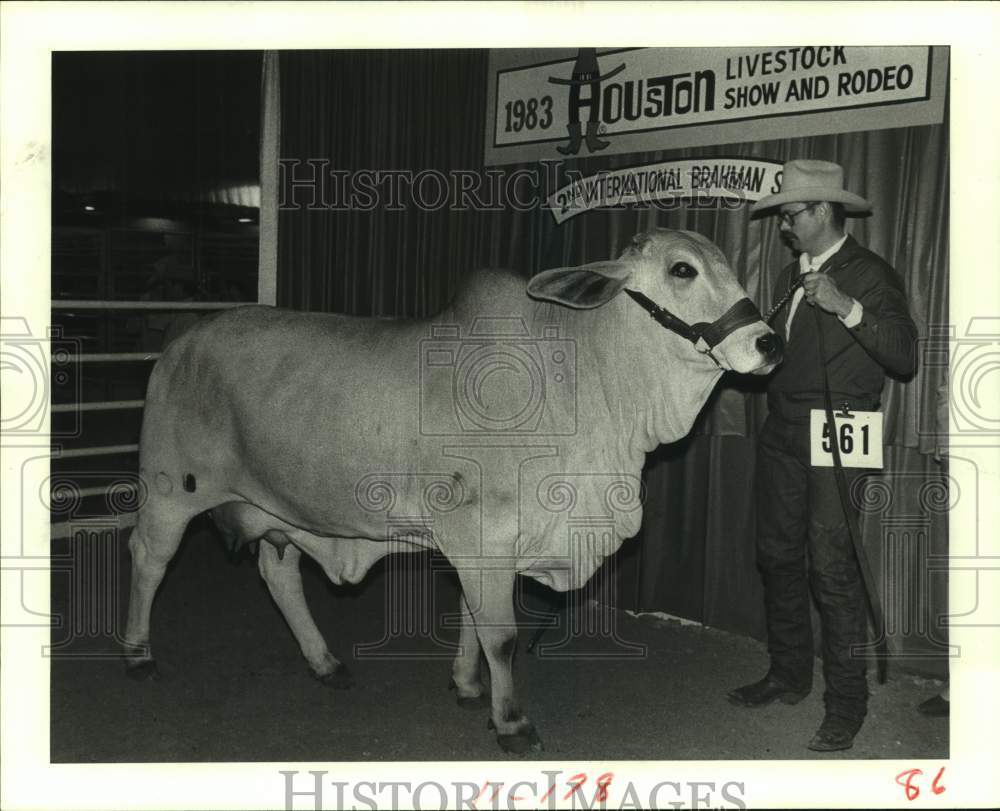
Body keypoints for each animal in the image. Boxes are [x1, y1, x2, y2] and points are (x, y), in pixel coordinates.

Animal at [125, 225, 780, 752]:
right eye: (682, 269)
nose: (769, 342)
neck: (583, 382)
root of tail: (184, 338)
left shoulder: (484, 546)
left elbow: (470, 617)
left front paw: (467, 685)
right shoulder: (480, 531)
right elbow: (501, 634)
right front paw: (512, 723)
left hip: (278, 508)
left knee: (277, 573)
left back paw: (325, 662)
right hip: (169, 490)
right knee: (149, 559)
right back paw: (138, 654)